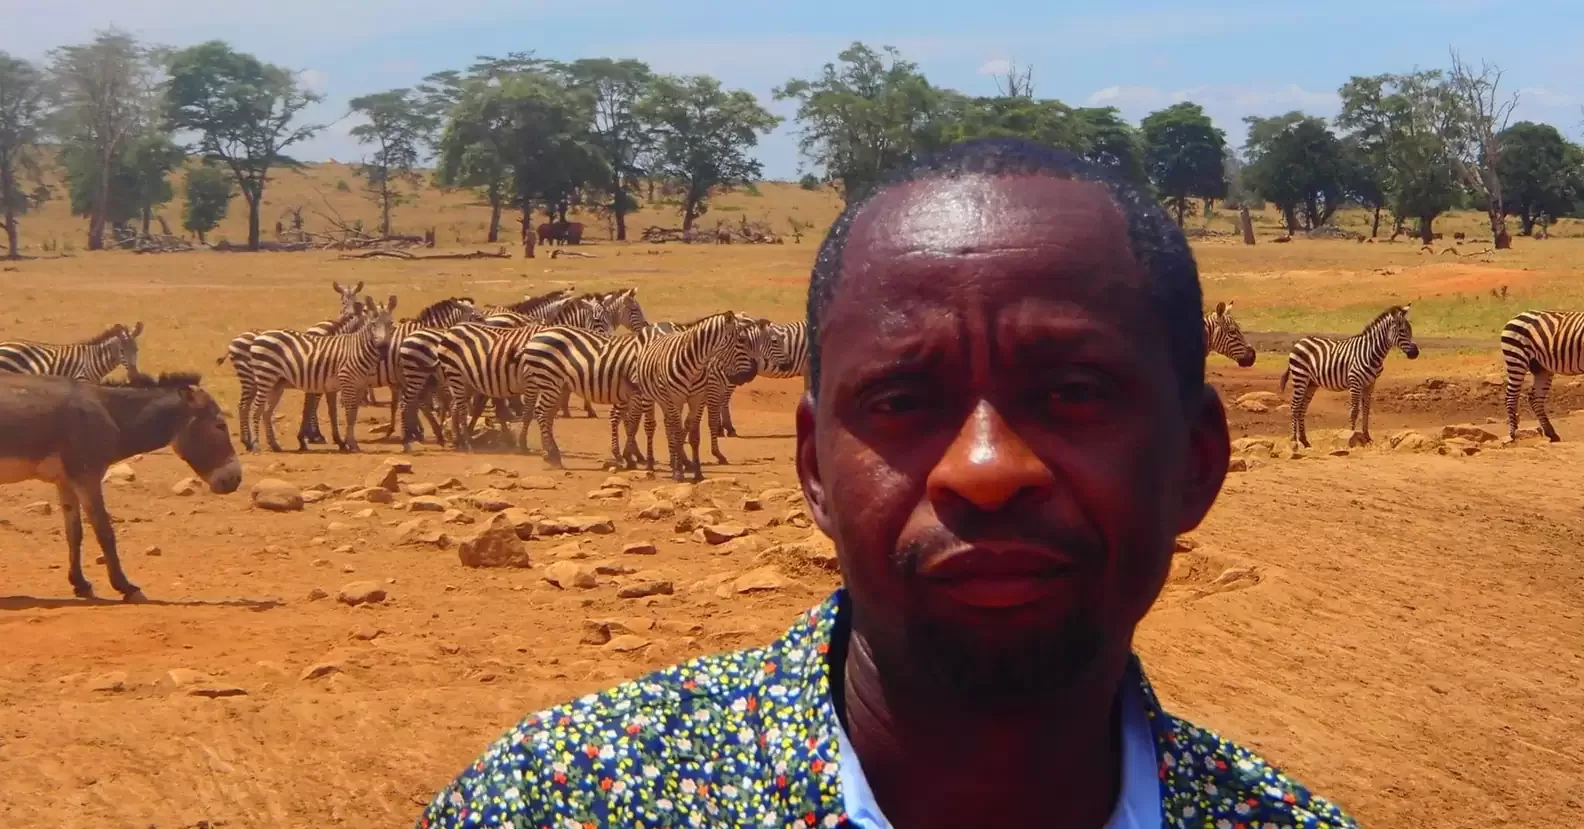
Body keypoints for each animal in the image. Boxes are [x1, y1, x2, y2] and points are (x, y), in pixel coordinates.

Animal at [247, 297, 399, 453]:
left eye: (390, 323)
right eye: (373, 324)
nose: (383, 348)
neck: (357, 348)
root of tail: (260, 336)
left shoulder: (360, 385)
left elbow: (352, 415)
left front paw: (348, 443)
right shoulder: (347, 382)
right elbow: (348, 414)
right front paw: (351, 443)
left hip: (277, 383)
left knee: (266, 412)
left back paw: (274, 445)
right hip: (265, 377)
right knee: (256, 410)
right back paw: (256, 445)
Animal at [627, 309, 750, 478]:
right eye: (742, 339)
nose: (748, 375)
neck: (694, 364)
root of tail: (656, 326)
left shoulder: (696, 400)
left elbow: (693, 435)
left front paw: (696, 472)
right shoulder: (676, 399)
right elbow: (679, 433)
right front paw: (679, 472)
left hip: (664, 399)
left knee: (668, 425)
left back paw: (674, 462)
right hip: (648, 394)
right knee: (650, 426)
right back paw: (651, 466)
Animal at [1273, 304, 1425, 446]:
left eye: (1410, 330)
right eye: (1402, 331)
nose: (1415, 353)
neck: (1371, 351)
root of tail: (1299, 341)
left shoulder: (1370, 383)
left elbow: (1366, 410)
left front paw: (1367, 437)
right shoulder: (1355, 382)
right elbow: (1354, 411)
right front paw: (1351, 436)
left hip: (1311, 383)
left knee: (1302, 408)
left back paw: (1304, 441)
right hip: (1300, 377)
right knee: (1295, 406)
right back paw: (1294, 440)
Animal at [1495, 309, 1584, 440]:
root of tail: (1517, 315)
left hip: (1541, 368)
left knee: (1535, 398)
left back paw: (1551, 433)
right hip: (1517, 360)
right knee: (1511, 397)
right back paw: (1513, 433)